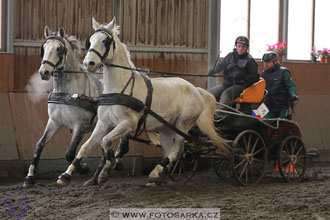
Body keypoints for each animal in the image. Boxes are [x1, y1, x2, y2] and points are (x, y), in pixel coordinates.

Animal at [23, 26, 103, 187]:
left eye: (59, 49)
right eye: (43, 48)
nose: (44, 72)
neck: (67, 93)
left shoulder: (80, 126)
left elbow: (70, 153)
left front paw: (76, 171)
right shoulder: (54, 122)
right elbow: (40, 145)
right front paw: (30, 177)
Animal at [56, 17, 229, 186]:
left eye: (105, 41)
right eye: (90, 40)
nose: (88, 63)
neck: (118, 87)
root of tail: (195, 89)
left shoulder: (128, 124)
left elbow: (106, 141)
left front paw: (108, 168)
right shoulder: (103, 123)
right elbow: (86, 147)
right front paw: (65, 176)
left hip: (182, 125)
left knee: (179, 148)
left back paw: (156, 172)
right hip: (166, 128)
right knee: (169, 149)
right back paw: (158, 176)